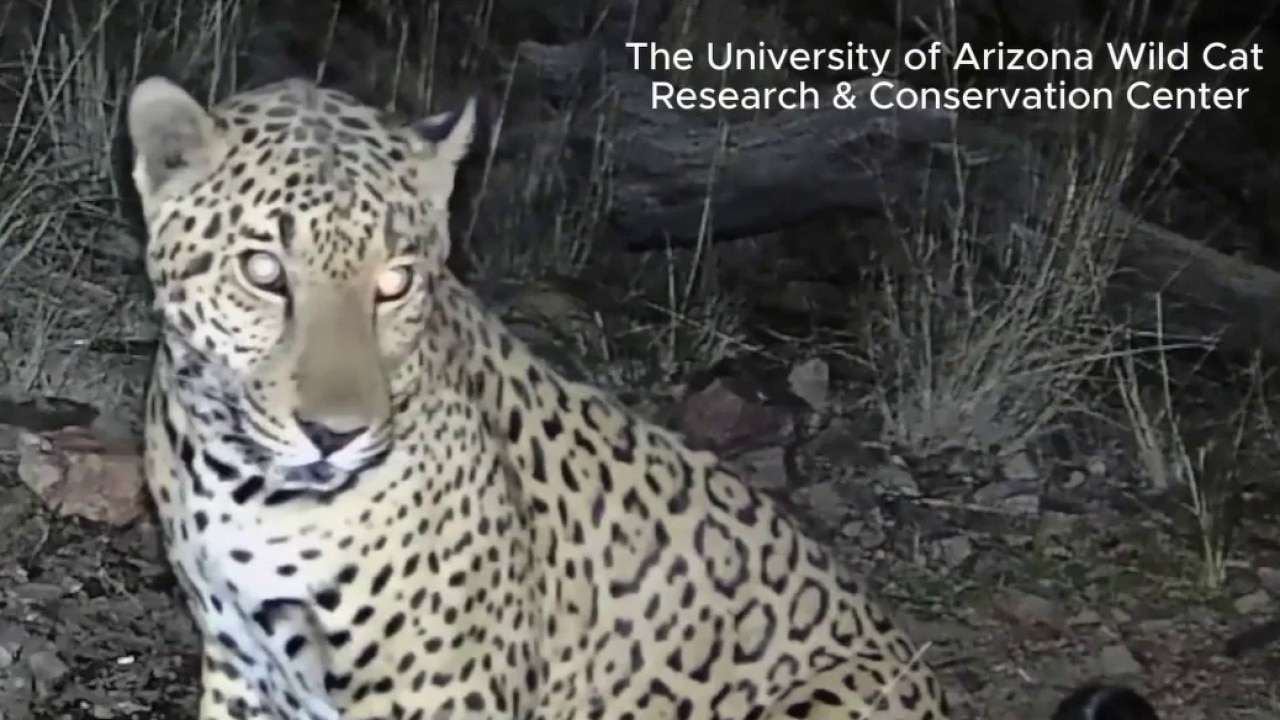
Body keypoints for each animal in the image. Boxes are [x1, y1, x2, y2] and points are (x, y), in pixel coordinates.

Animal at [125, 74, 1160, 720]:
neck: (244, 481)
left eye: (395, 282)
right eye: (265, 273)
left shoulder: (439, 690)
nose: (334, 435)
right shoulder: (240, 664)